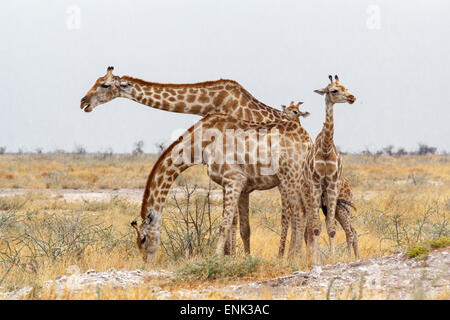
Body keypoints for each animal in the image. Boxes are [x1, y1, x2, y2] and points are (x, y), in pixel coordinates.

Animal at [128, 112, 314, 262]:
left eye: (143, 239)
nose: (146, 262)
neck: (202, 145)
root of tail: (307, 141)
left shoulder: (235, 179)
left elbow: (224, 225)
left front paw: (215, 258)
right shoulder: (231, 184)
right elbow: (241, 227)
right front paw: (238, 258)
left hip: (290, 176)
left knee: (299, 213)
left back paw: (294, 257)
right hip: (301, 179)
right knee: (303, 213)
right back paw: (301, 256)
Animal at [278, 102, 358, 260]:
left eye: (295, 111)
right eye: (286, 108)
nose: (283, 115)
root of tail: (350, 186)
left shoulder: (306, 204)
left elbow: (308, 230)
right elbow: (307, 230)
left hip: (342, 208)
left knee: (350, 231)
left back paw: (350, 258)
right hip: (336, 210)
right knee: (352, 229)